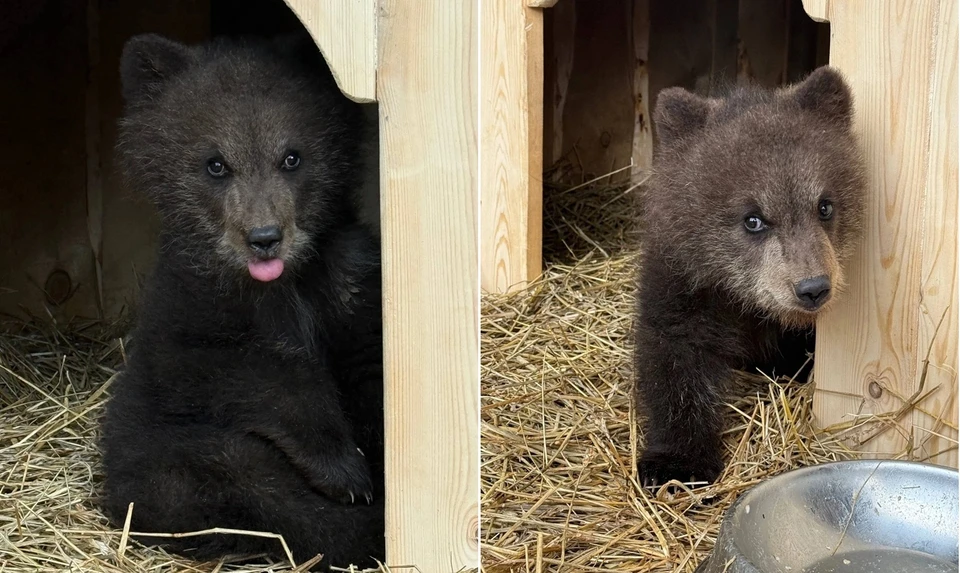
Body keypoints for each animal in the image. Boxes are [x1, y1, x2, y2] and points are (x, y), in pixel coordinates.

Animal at [98, 33, 385, 570]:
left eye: (292, 157)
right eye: (216, 163)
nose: (264, 238)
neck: (281, 284)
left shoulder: (350, 278)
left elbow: (370, 362)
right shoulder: (191, 304)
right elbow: (236, 370)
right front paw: (344, 471)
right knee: (232, 477)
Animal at [633, 67, 866, 487]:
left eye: (825, 206)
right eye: (753, 219)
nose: (813, 288)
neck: (745, 302)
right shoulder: (682, 285)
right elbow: (674, 360)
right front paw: (676, 462)